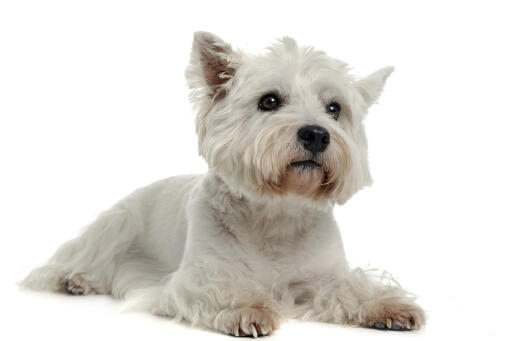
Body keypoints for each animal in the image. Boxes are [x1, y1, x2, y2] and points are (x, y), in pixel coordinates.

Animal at [22, 31, 426, 334]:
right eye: (269, 101)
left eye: (334, 108)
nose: (316, 135)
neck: (276, 217)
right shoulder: (197, 277)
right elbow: (223, 287)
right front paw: (248, 309)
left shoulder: (324, 274)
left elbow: (352, 286)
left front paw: (389, 306)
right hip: (116, 225)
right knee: (79, 258)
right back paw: (74, 279)